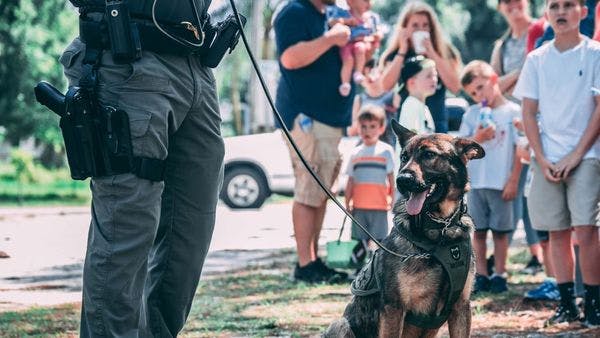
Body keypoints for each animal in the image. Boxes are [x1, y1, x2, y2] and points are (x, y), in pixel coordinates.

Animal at [326, 120, 486, 336]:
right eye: (403, 157)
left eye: (429, 155)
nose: (402, 180)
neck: (440, 229)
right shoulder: (394, 308)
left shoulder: (461, 307)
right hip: (340, 325)